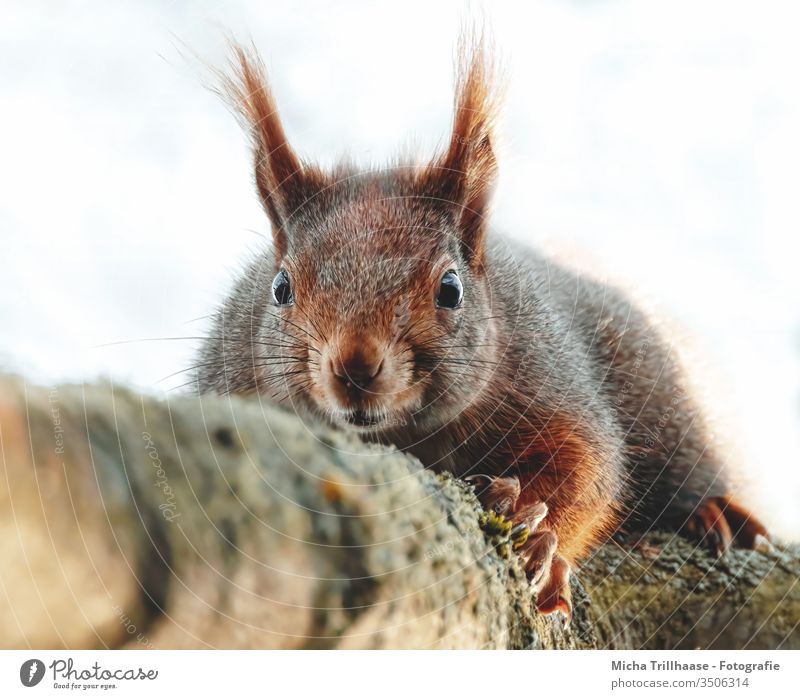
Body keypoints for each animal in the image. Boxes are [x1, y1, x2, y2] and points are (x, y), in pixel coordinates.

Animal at [194, 35, 768, 620]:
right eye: (280, 287)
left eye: (450, 288)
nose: (354, 367)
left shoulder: (550, 378)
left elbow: (587, 469)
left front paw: (536, 534)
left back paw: (709, 512)